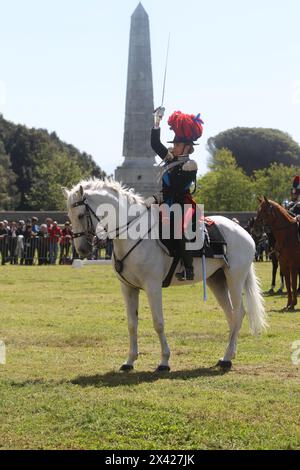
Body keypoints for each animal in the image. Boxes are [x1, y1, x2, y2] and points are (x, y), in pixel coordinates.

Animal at [63, 178, 268, 372]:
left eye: (80, 215)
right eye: (70, 217)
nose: (82, 249)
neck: (132, 235)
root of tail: (244, 232)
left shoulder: (152, 287)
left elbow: (158, 323)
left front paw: (164, 362)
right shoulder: (128, 288)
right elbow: (132, 324)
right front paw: (129, 361)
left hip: (234, 279)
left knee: (238, 313)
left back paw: (227, 359)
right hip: (216, 281)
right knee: (231, 315)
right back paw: (227, 355)